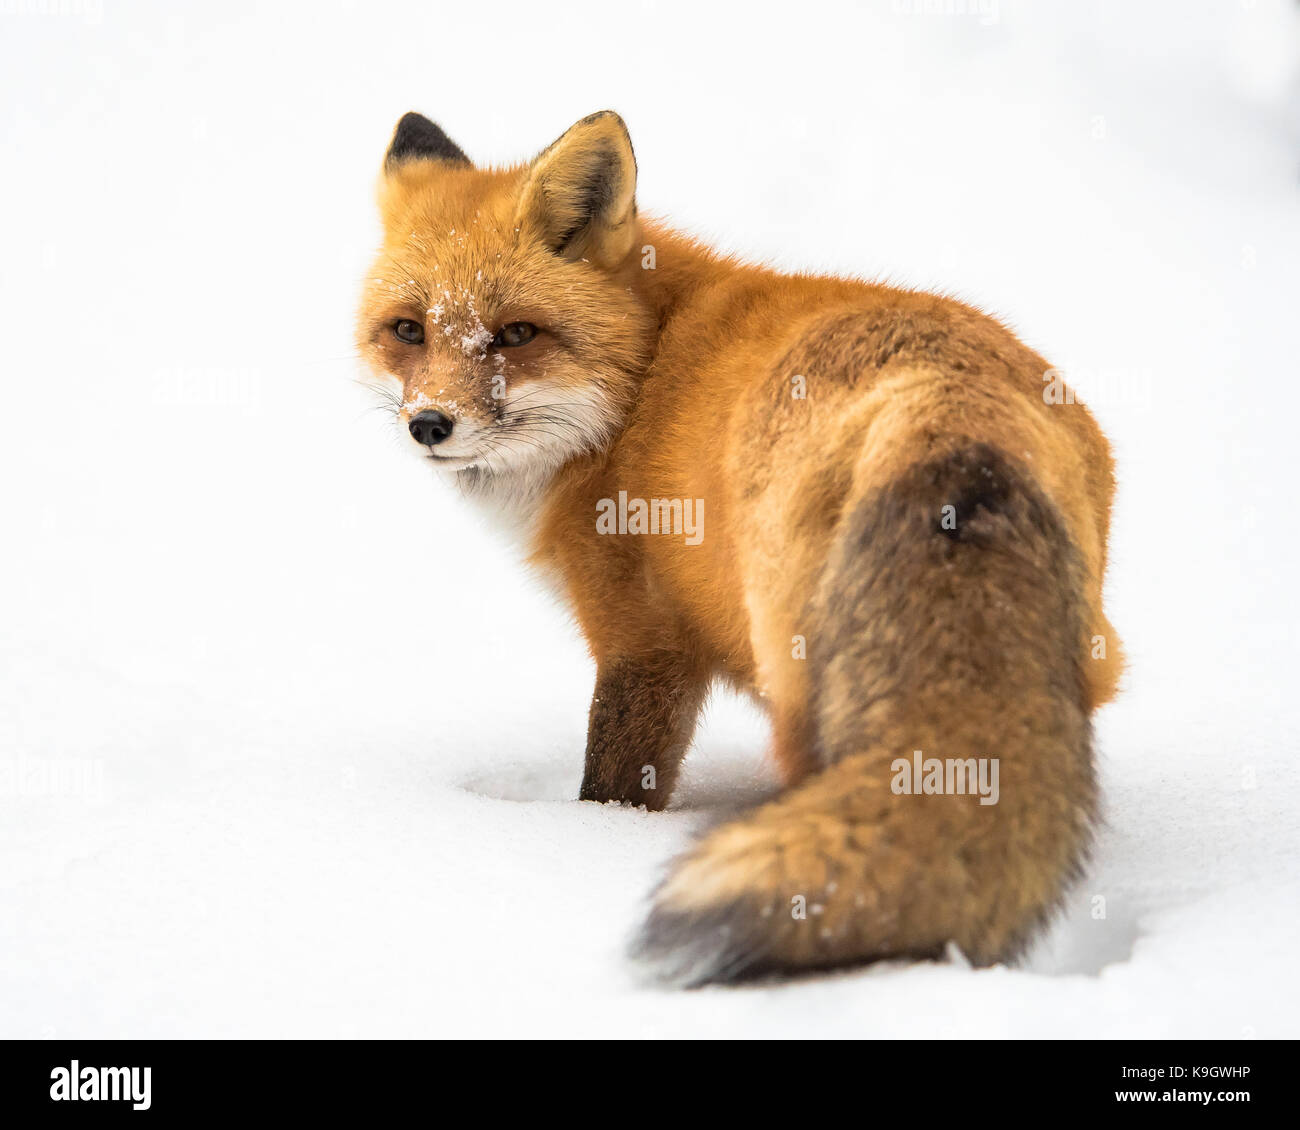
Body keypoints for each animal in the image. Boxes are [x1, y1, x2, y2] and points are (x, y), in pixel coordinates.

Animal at [356, 110, 1118, 983]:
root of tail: (946, 404)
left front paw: (595, 843)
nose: (430, 424)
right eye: (408, 331)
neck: (637, 389)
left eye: (516, 334)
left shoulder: (645, 648)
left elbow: (613, 787)